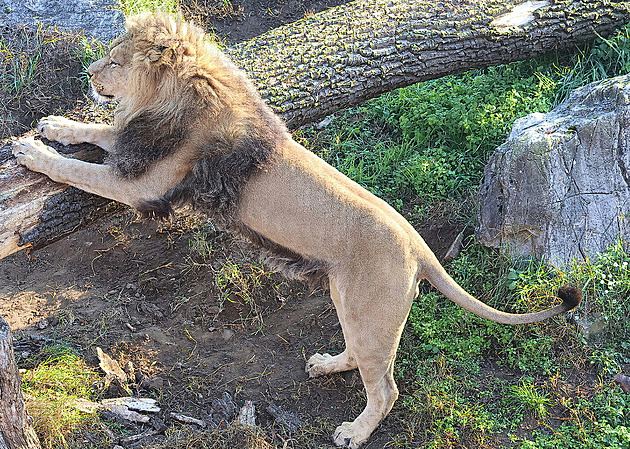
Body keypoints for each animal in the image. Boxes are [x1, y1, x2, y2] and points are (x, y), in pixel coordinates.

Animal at [12, 12, 584, 446]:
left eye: (114, 61)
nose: (88, 75)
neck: (177, 98)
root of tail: (418, 246)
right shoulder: (140, 146)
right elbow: (98, 131)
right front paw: (55, 125)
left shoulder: (146, 182)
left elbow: (80, 169)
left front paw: (32, 152)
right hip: (348, 298)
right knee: (361, 357)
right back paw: (327, 364)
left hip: (369, 307)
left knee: (386, 390)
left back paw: (354, 432)